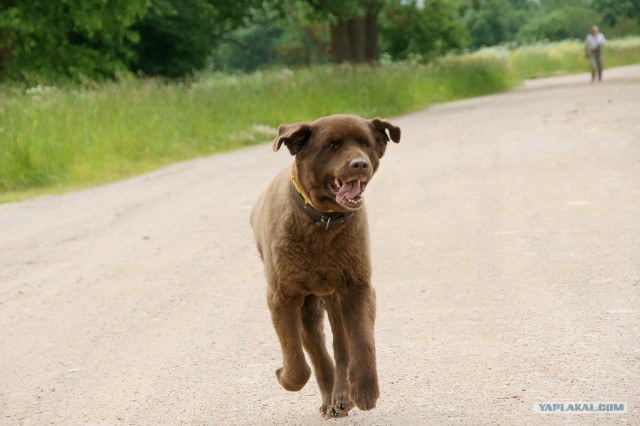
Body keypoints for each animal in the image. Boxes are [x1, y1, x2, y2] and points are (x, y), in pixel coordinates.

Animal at [251, 113, 398, 416]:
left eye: (366, 144)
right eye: (331, 145)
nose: (359, 164)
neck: (324, 223)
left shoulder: (357, 286)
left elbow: (361, 341)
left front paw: (364, 390)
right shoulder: (283, 297)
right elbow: (298, 366)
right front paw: (282, 374)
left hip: (334, 295)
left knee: (341, 346)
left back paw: (342, 396)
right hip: (309, 305)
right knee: (317, 352)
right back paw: (330, 397)